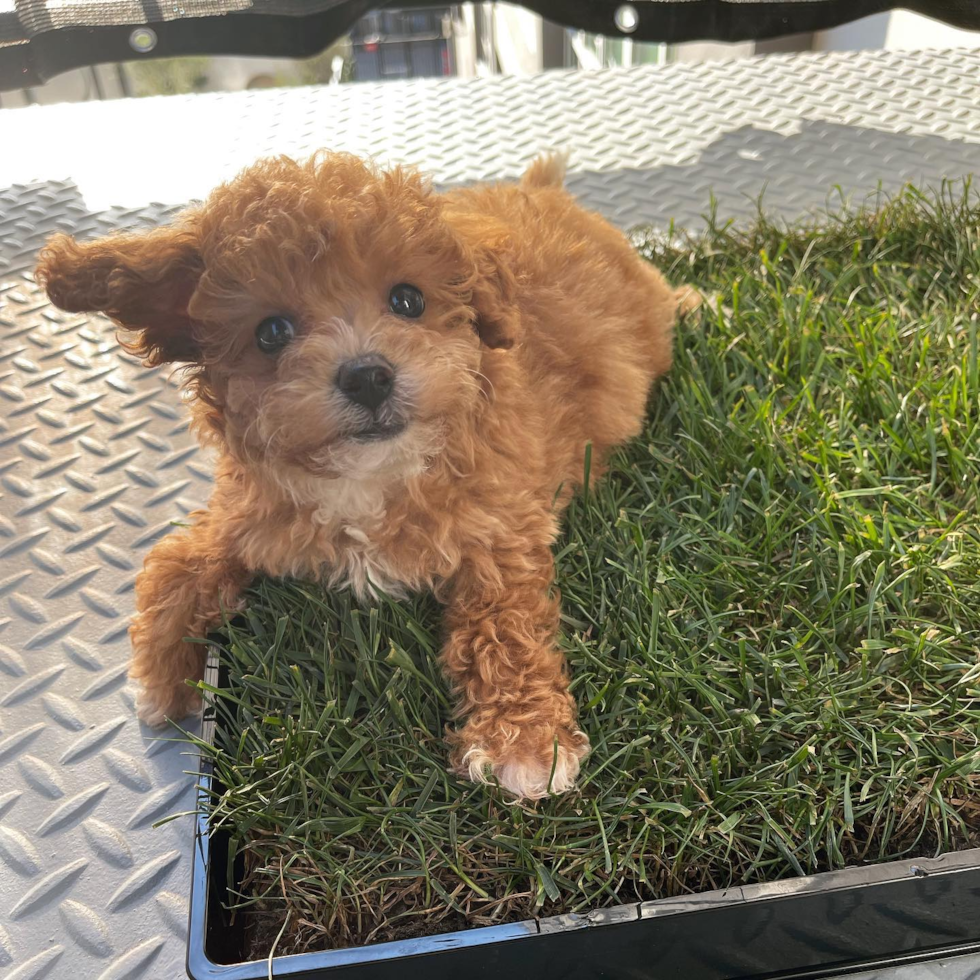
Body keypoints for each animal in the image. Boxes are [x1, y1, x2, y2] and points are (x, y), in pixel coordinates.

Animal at [38, 151, 696, 796]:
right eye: (271, 332)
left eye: (408, 300)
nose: (368, 376)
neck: (368, 479)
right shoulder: (248, 517)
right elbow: (178, 566)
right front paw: (163, 678)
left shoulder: (501, 530)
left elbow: (506, 621)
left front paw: (524, 739)